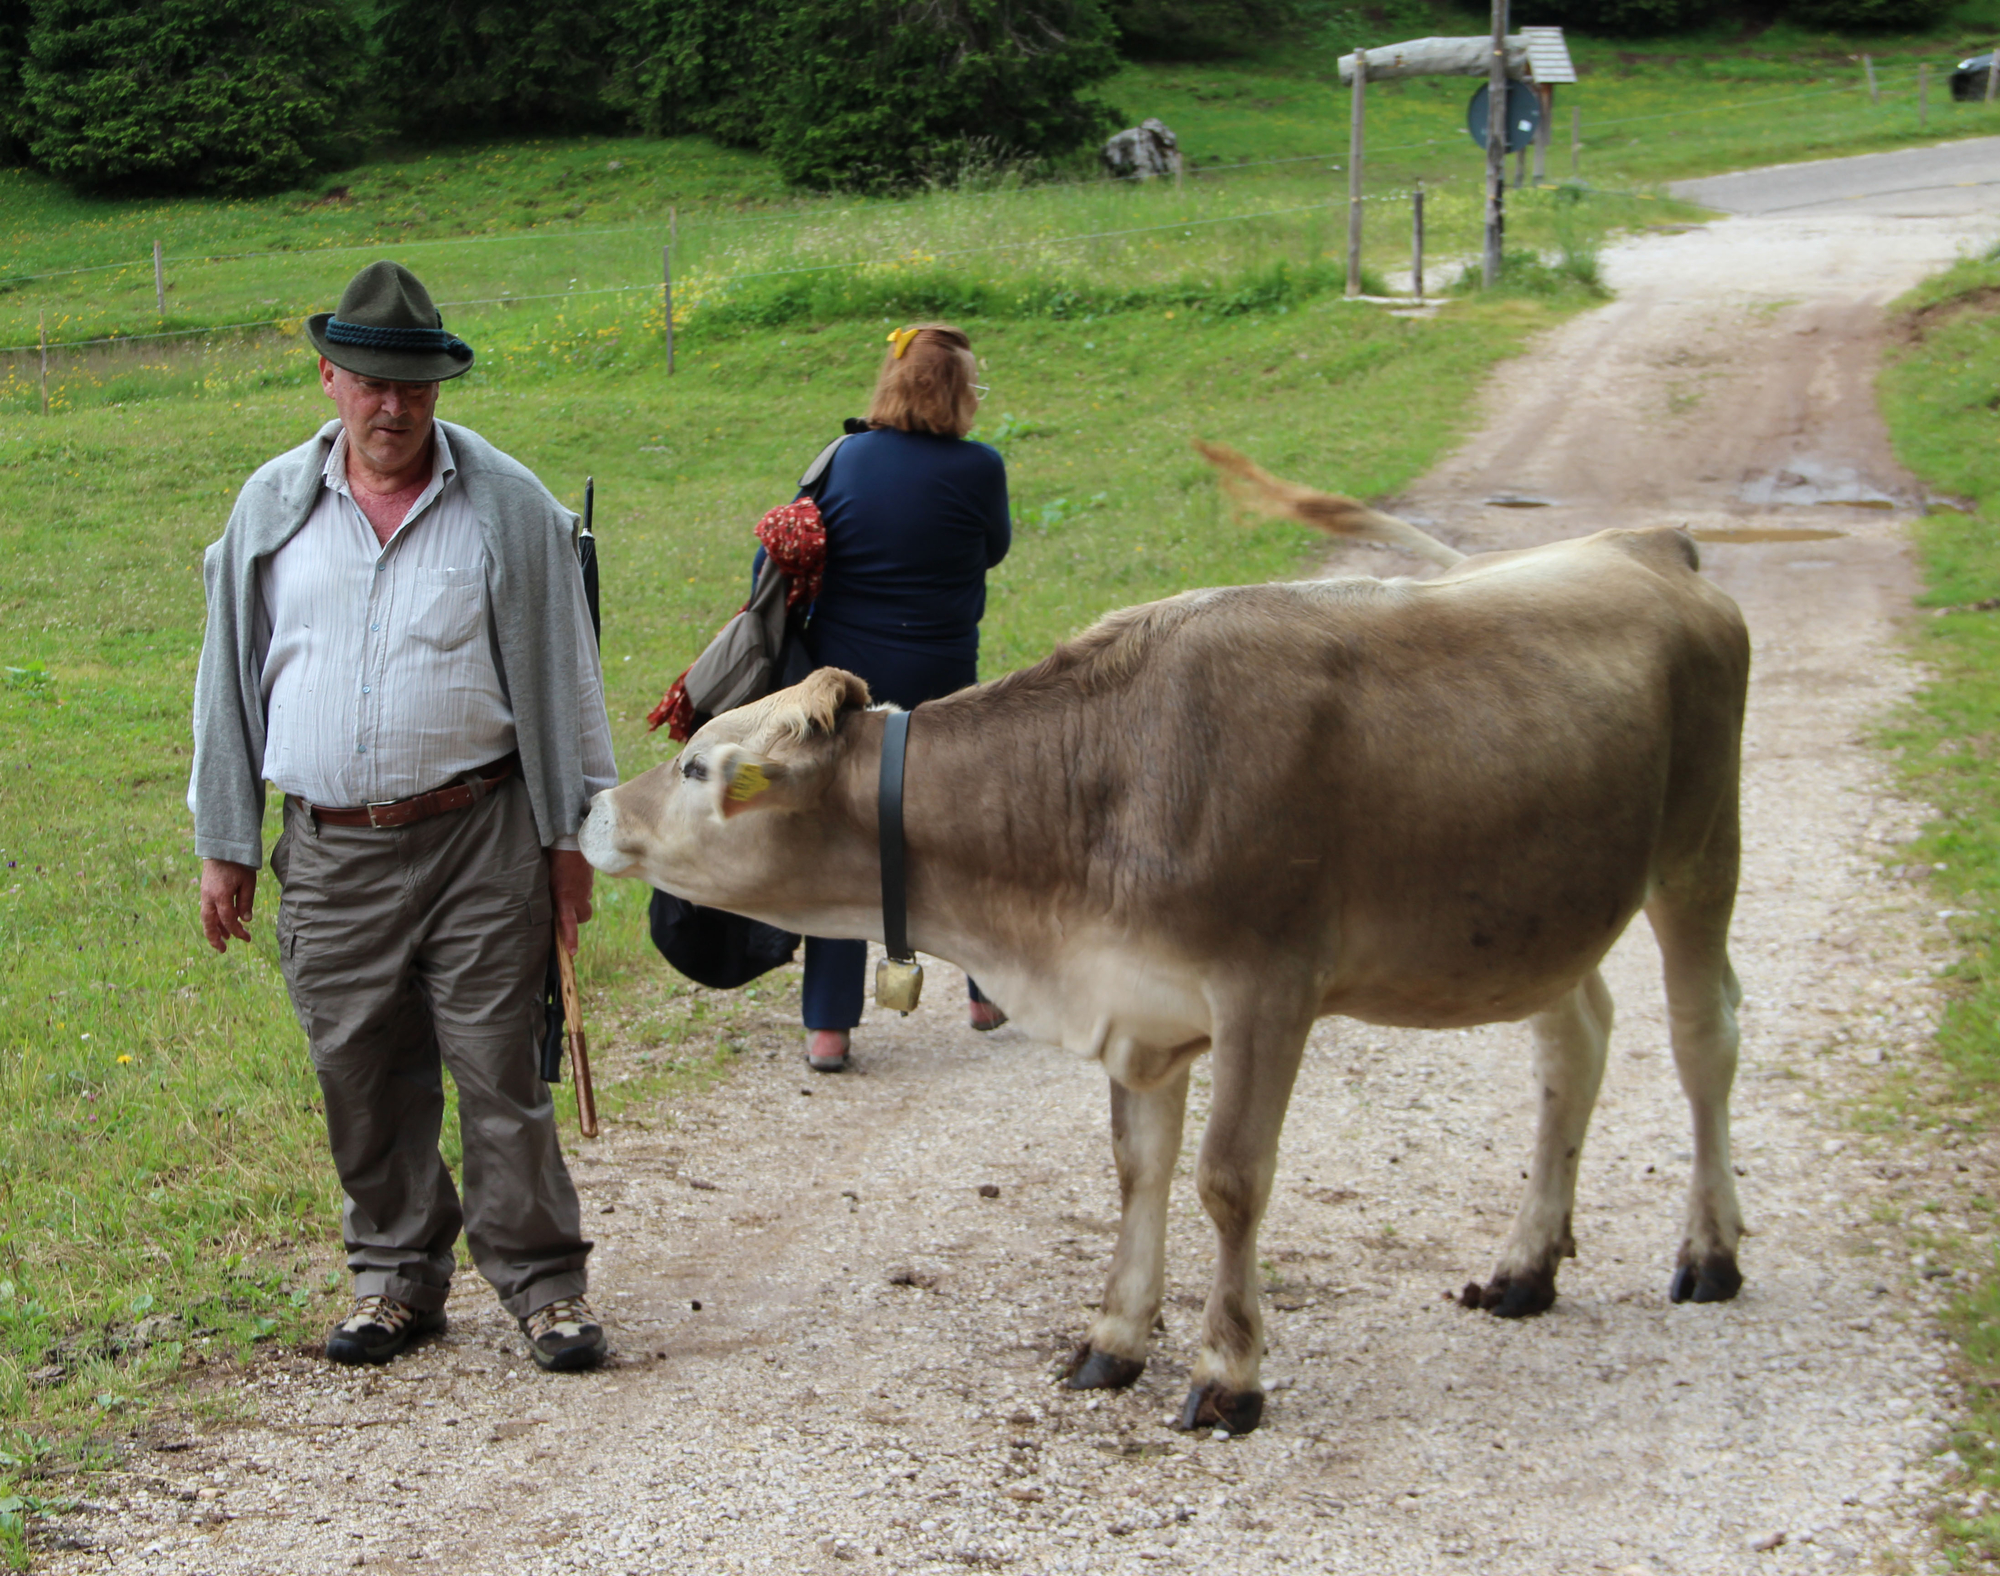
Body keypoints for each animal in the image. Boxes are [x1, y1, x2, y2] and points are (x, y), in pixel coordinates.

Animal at [584, 450, 1752, 1432]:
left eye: (698, 766)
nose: (594, 806)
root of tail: (1645, 544)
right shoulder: (1138, 999)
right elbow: (1137, 1166)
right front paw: (1113, 1338)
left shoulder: (1267, 987)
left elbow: (1227, 1178)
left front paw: (1227, 1372)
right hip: (1539, 911)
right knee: (1575, 1045)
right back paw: (1524, 1267)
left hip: (1698, 856)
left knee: (1705, 1037)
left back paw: (1708, 1252)